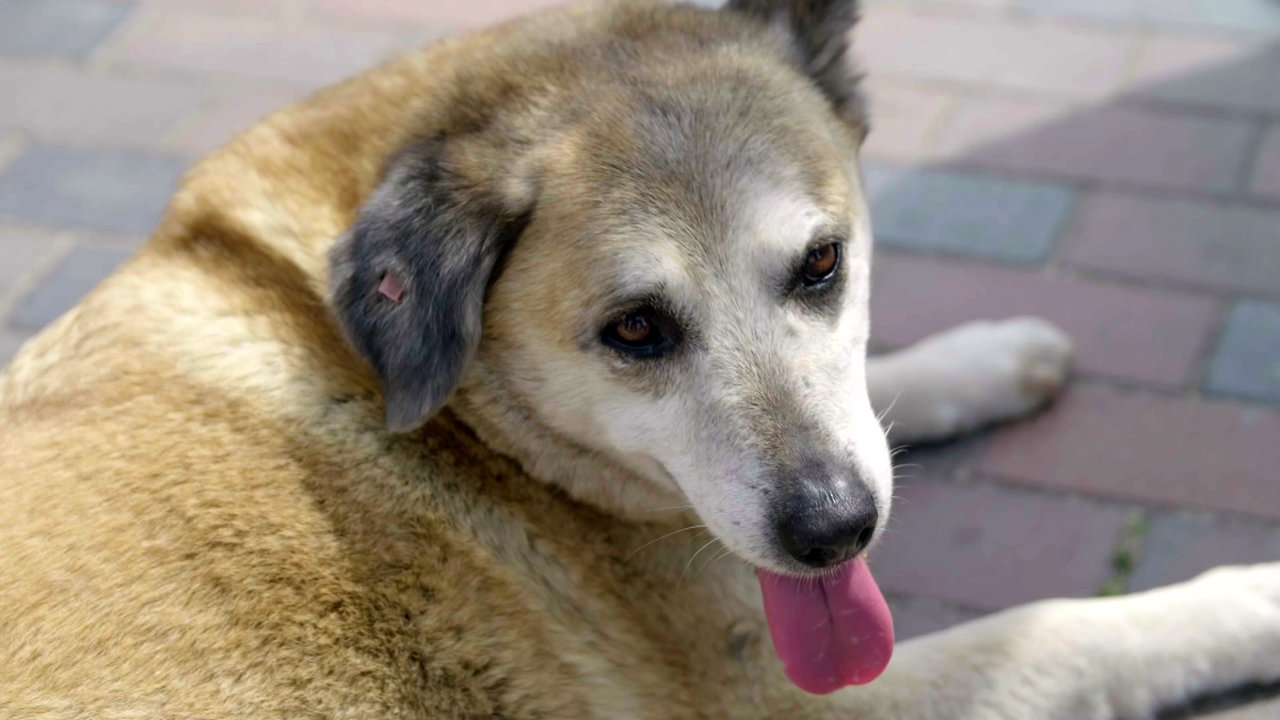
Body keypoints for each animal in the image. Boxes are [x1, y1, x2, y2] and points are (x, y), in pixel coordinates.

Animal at [2, 0, 1280, 712]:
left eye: (822, 263)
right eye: (633, 332)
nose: (833, 531)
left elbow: (884, 396)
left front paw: (993, 354)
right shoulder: (792, 702)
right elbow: (1069, 631)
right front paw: (1251, 602)